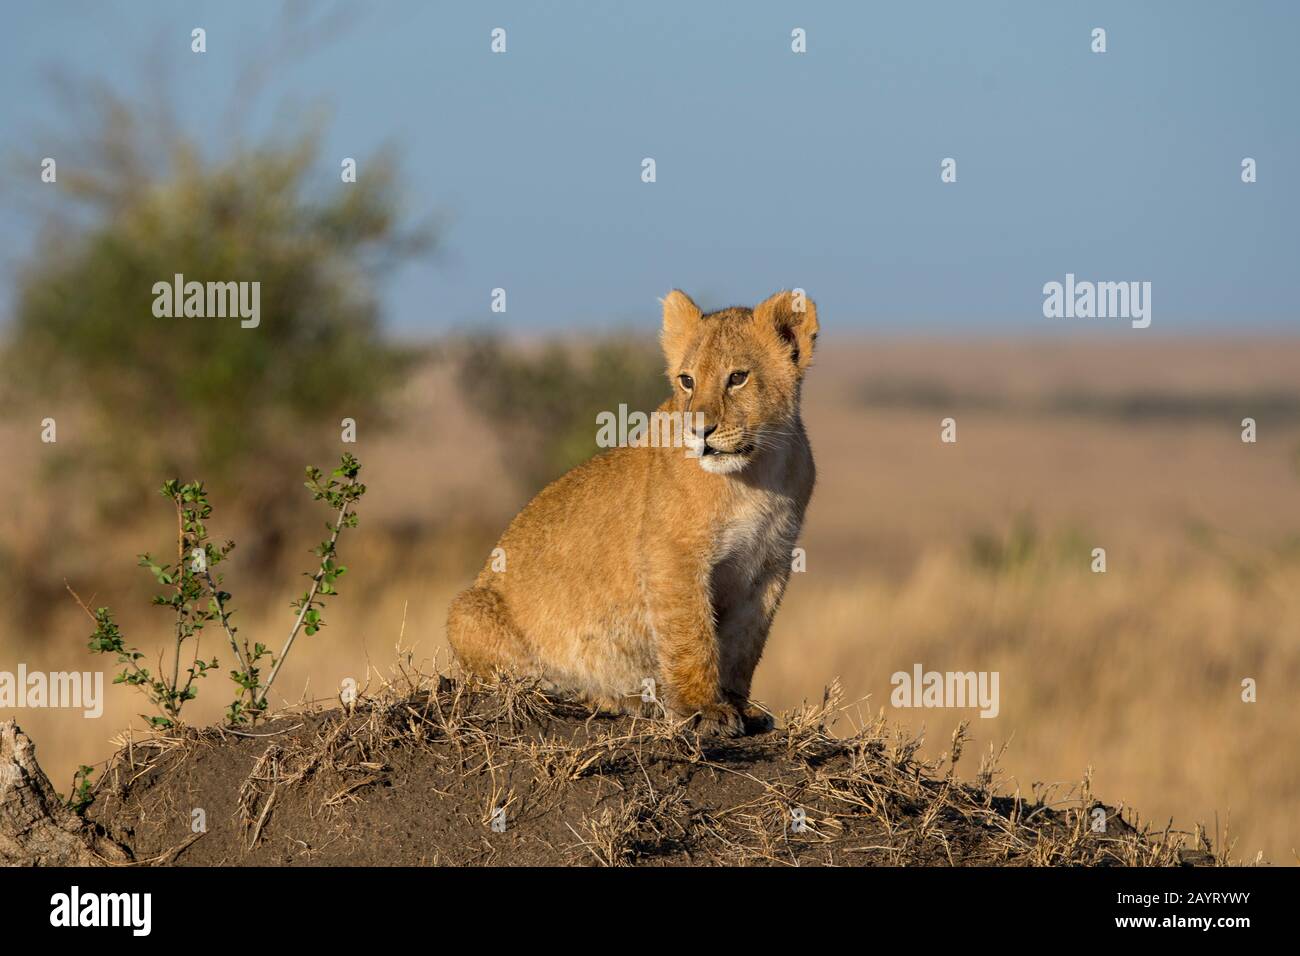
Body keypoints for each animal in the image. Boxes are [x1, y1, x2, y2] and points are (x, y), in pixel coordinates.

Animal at [446, 289, 818, 736]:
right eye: (687, 381)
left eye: (738, 377)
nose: (700, 432)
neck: (756, 470)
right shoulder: (673, 555)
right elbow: (691, 634)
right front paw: (701, 709)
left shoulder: (769, 566)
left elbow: (745, 645)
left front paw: (739, 707)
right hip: (468, 611)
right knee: (530, 685)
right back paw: (613, 697)